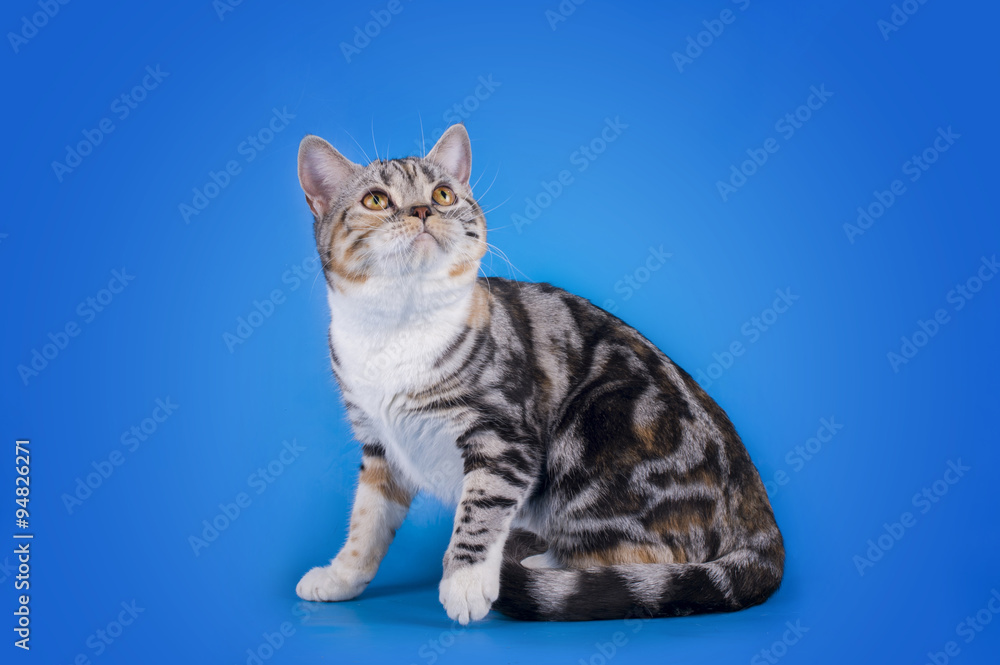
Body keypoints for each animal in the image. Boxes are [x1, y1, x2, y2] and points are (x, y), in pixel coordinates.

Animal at [292, 123, 784, 624]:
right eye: (376, 200)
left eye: (443, 194)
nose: (423, 209)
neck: (398, 328)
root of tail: (754, 505)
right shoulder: (379, 445)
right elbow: (366, 523)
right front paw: (341, 577)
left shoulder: (503, 438)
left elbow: (481, 509)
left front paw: (466, 581)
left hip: (599, 422)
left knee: (654, 557)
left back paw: (542, 565)